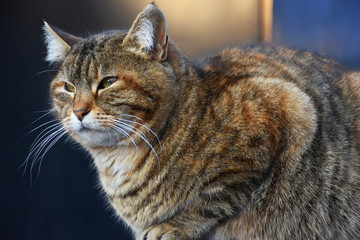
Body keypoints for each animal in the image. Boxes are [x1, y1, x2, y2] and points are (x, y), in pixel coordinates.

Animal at [37, 2, 360, 239]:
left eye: (107, 82)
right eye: (68, 87)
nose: (79, 111)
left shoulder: (285, 108)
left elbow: (211, 198)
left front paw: (172, 226)